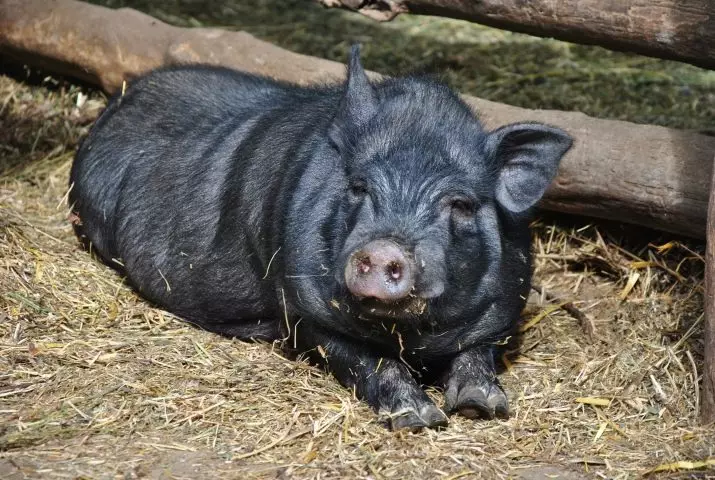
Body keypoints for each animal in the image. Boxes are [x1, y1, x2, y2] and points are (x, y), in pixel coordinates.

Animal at [70, 47, 572, 430]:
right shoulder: (303, 309)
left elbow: (478, 352)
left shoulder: (503, 309)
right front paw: (419, 419)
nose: (384, 248)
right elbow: (368, 361)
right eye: (358, 187)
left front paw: (482, 407)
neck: (409, 335)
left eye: (462, 205)